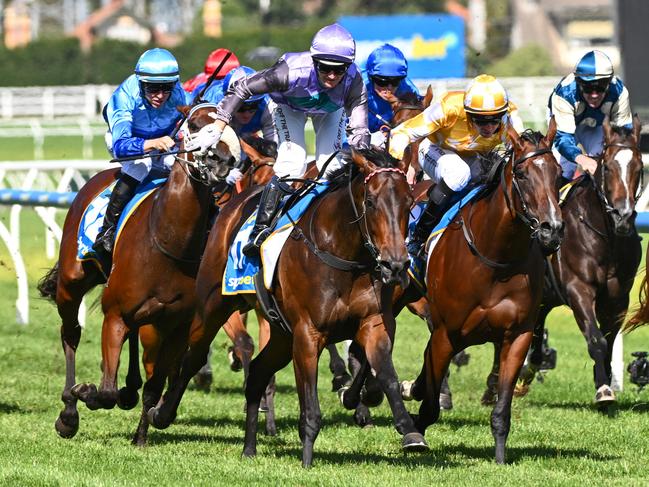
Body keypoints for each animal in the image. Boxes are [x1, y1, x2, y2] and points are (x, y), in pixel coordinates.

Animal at [36, 105, 238, 444]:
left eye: (229, 123)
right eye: (195, 124)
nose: (223, 160)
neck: (169, 241)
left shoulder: (175, 324)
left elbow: (155, 386)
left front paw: (141, 437)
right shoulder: (114, 314)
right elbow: (105, 392)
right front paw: (84, 393)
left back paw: (129, 389)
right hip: (71, 283)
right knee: (71, 335)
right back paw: (68, 412)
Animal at [147, 150, 428, 468]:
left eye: (409, 202)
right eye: (370, 201)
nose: (396, 265)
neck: (342, 254)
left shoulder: (374, 323)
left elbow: (387, 374)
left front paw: (410, 431)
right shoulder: (307, 333)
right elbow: (310, 406)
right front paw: (307, 461)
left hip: (281, 334)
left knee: (257, 372)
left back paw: (249, 448)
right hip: (213, 306)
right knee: (193, 357)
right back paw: (161, 413)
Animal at [392, 122, 564, 466]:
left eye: (558, 173)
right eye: (522, 174)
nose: (551, 229)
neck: (495, 257)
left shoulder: (517, 336)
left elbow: (501, 409)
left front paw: (499, 457)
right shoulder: (447, 334)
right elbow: (430, 408)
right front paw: (414, 430)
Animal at [512, 115, 644, 404]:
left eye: (639, 168)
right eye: (608, 167)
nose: (623, 216)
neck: (606, 237)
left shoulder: (618, 297)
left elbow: (609, 341)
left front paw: (604, 380)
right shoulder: (578, 289)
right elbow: (596, 340)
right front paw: (604, 389)